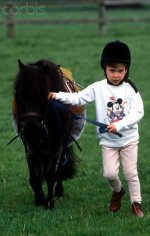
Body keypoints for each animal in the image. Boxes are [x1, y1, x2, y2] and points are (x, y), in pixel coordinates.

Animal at [12, 59, 83, 208]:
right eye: (20, 93)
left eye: (44, 94)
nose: (31, 127)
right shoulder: (29, 144)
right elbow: (34, 174)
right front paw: (39, 198)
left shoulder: (57, 143)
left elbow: (51, 174)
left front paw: (49, 202)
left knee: (60, 167)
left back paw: (59, 192)